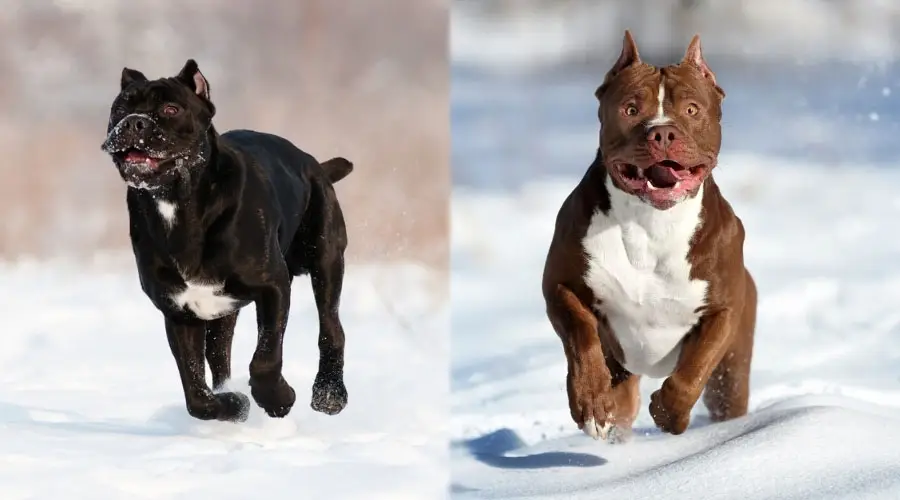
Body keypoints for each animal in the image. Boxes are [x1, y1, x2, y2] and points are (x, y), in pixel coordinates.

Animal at [99, 59, 352, 422]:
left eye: (170, 109)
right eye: (120, 108)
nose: (134, 122)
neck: (178, 201)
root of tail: (312, 162)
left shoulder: (273, 286)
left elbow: (265, 356)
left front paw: (277, 398)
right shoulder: (179, 310)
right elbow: (195, 391)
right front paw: (233, 404)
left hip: (325, 258)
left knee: (331, 327)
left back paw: (329, 394)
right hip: (222, 311)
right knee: (219, 356)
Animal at [540, 30, 760, 438]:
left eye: (691, 110)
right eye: (630, 109)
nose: (663, 132)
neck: (652, 224)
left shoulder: (723, 309)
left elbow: (695, 368)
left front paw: (670, 412)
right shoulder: (560, 285)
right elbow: (581, 335)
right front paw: (591, 402)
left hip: (732, 376)